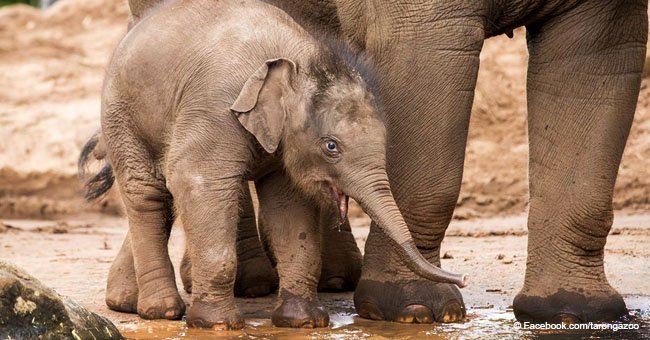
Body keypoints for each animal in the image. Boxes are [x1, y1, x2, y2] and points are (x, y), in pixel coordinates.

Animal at [82, 0, 466, 330]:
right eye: (331, 147)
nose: (462, 277)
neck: (296, 58)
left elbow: (288, 205)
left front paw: (306, 322)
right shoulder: (215, 105)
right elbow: (195, 179)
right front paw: (217, 325)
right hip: (121, 113)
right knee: (147, 193)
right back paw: (162, 311)